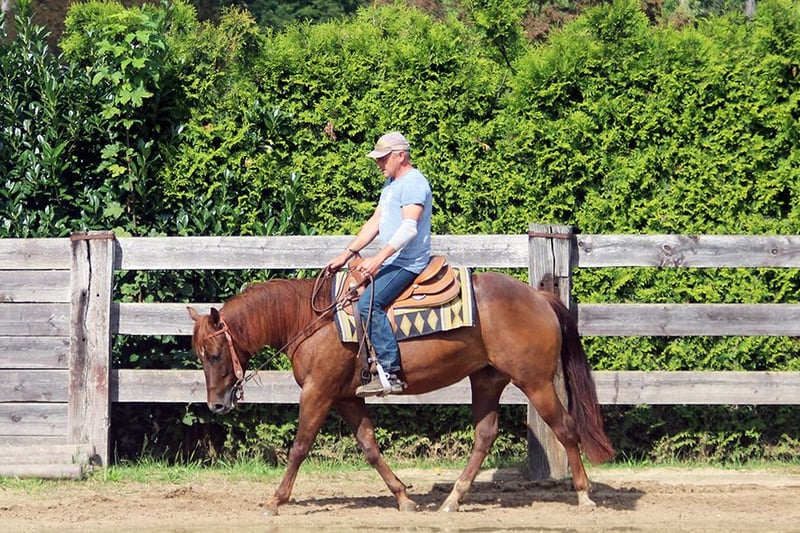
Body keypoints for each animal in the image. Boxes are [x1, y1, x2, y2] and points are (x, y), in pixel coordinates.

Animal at [187, 270, 615, 515]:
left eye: (214, 353)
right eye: (200, 354)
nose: (216, 404)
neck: (310, 320)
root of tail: (539, 297)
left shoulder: (318, 392)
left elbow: (300, 446)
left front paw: (275, 500)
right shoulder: (347, 396)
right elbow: (369, 446)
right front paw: (403, 497)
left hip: (536, 381)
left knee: (565, 428)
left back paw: (584, 495)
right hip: (487, 379)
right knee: (485, 435)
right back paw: (452, 500)